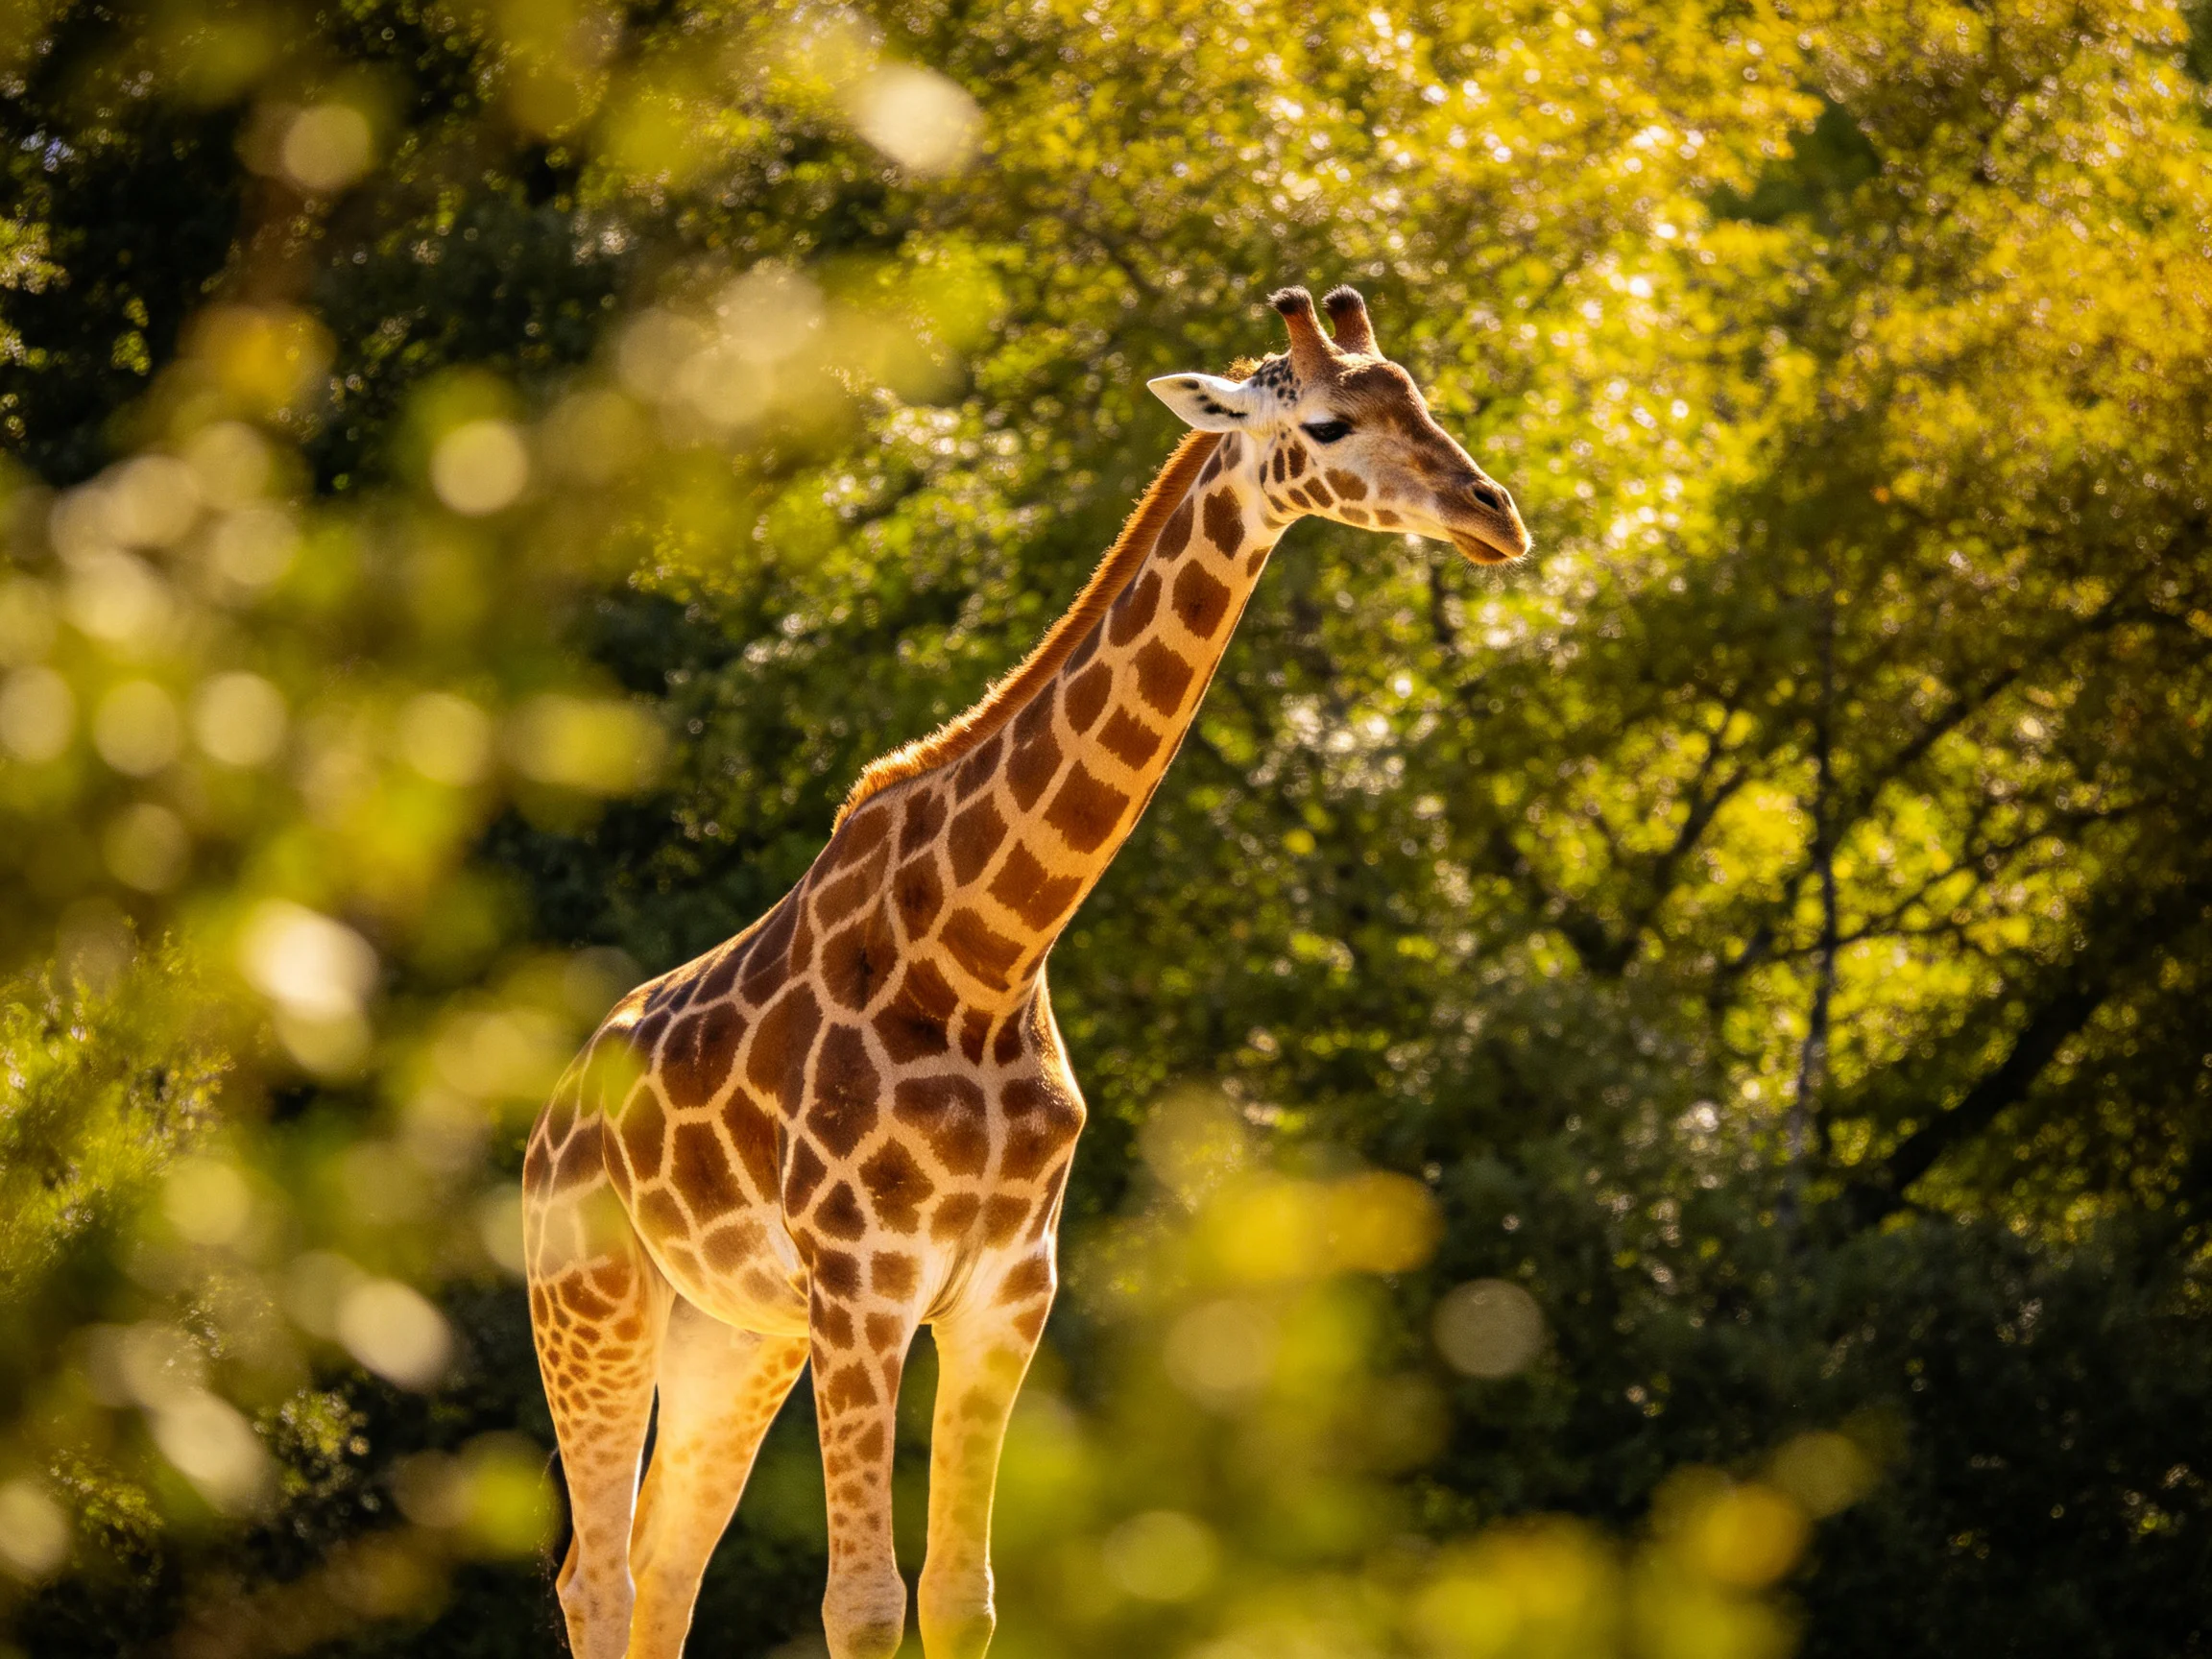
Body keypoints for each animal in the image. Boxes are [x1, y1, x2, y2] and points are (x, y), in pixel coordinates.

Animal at [522, 283, 1531, 1659]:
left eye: (1417, 395)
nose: (1496, 514)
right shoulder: (865, 1291)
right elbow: (863, 1606)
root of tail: (548, 1118)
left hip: (733, 1335)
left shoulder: (1007, 1294)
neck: (986, 958)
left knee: (666, 1570)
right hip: (591, 1301)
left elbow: (963, 1599)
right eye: (1328, 423)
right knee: (599, 1577)